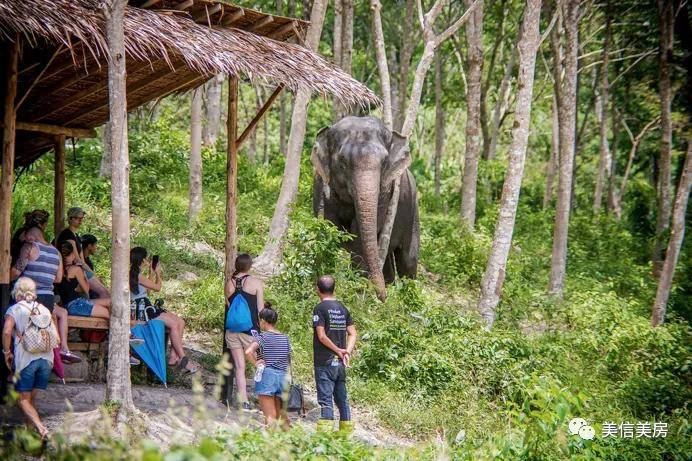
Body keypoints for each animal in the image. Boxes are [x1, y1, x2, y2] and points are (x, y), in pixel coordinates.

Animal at [310, 117, 418, 300]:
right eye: (343, 162)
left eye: (384, 162)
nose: (383, 298)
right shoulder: (321, 185)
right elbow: (329, 226)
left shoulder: (385, 193)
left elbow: (358, 234)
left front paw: (358, 292)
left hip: (413, 210)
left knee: (408, 259)